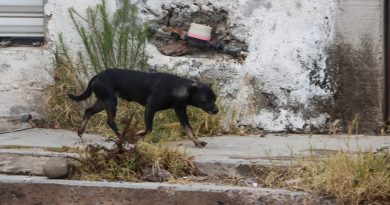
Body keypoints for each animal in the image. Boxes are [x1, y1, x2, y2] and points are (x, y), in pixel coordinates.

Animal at [68, 69, 218, 147]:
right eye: (205, 99)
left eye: (215, 98)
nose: (216, 110)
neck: (179, 89)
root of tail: (96, 76)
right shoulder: (150, 107)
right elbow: (149, 128)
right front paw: (138, 134)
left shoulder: (181, 111)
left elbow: (189, 130)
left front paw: (197, 142)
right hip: (110, 101)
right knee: (110, 121)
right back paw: (122, 136)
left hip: (103, 101)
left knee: (88, 111)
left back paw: (80, 131)